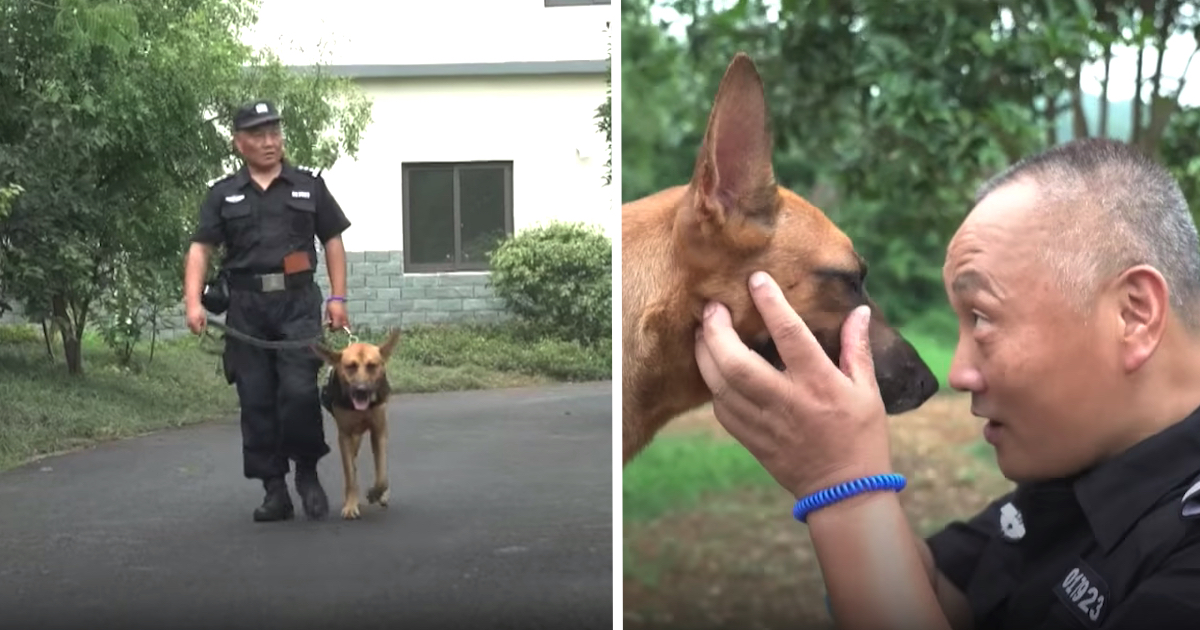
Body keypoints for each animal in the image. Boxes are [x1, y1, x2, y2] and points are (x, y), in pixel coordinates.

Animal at [312, 326, 400, 518]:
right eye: (350, 367)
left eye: (372, 366)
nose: (361, 390)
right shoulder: (345, 435)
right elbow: (350, 475)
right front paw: (351, 505)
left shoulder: (379, 432)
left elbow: (382, 474)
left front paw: (376, 493)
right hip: (352, 437)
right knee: (351, 465)